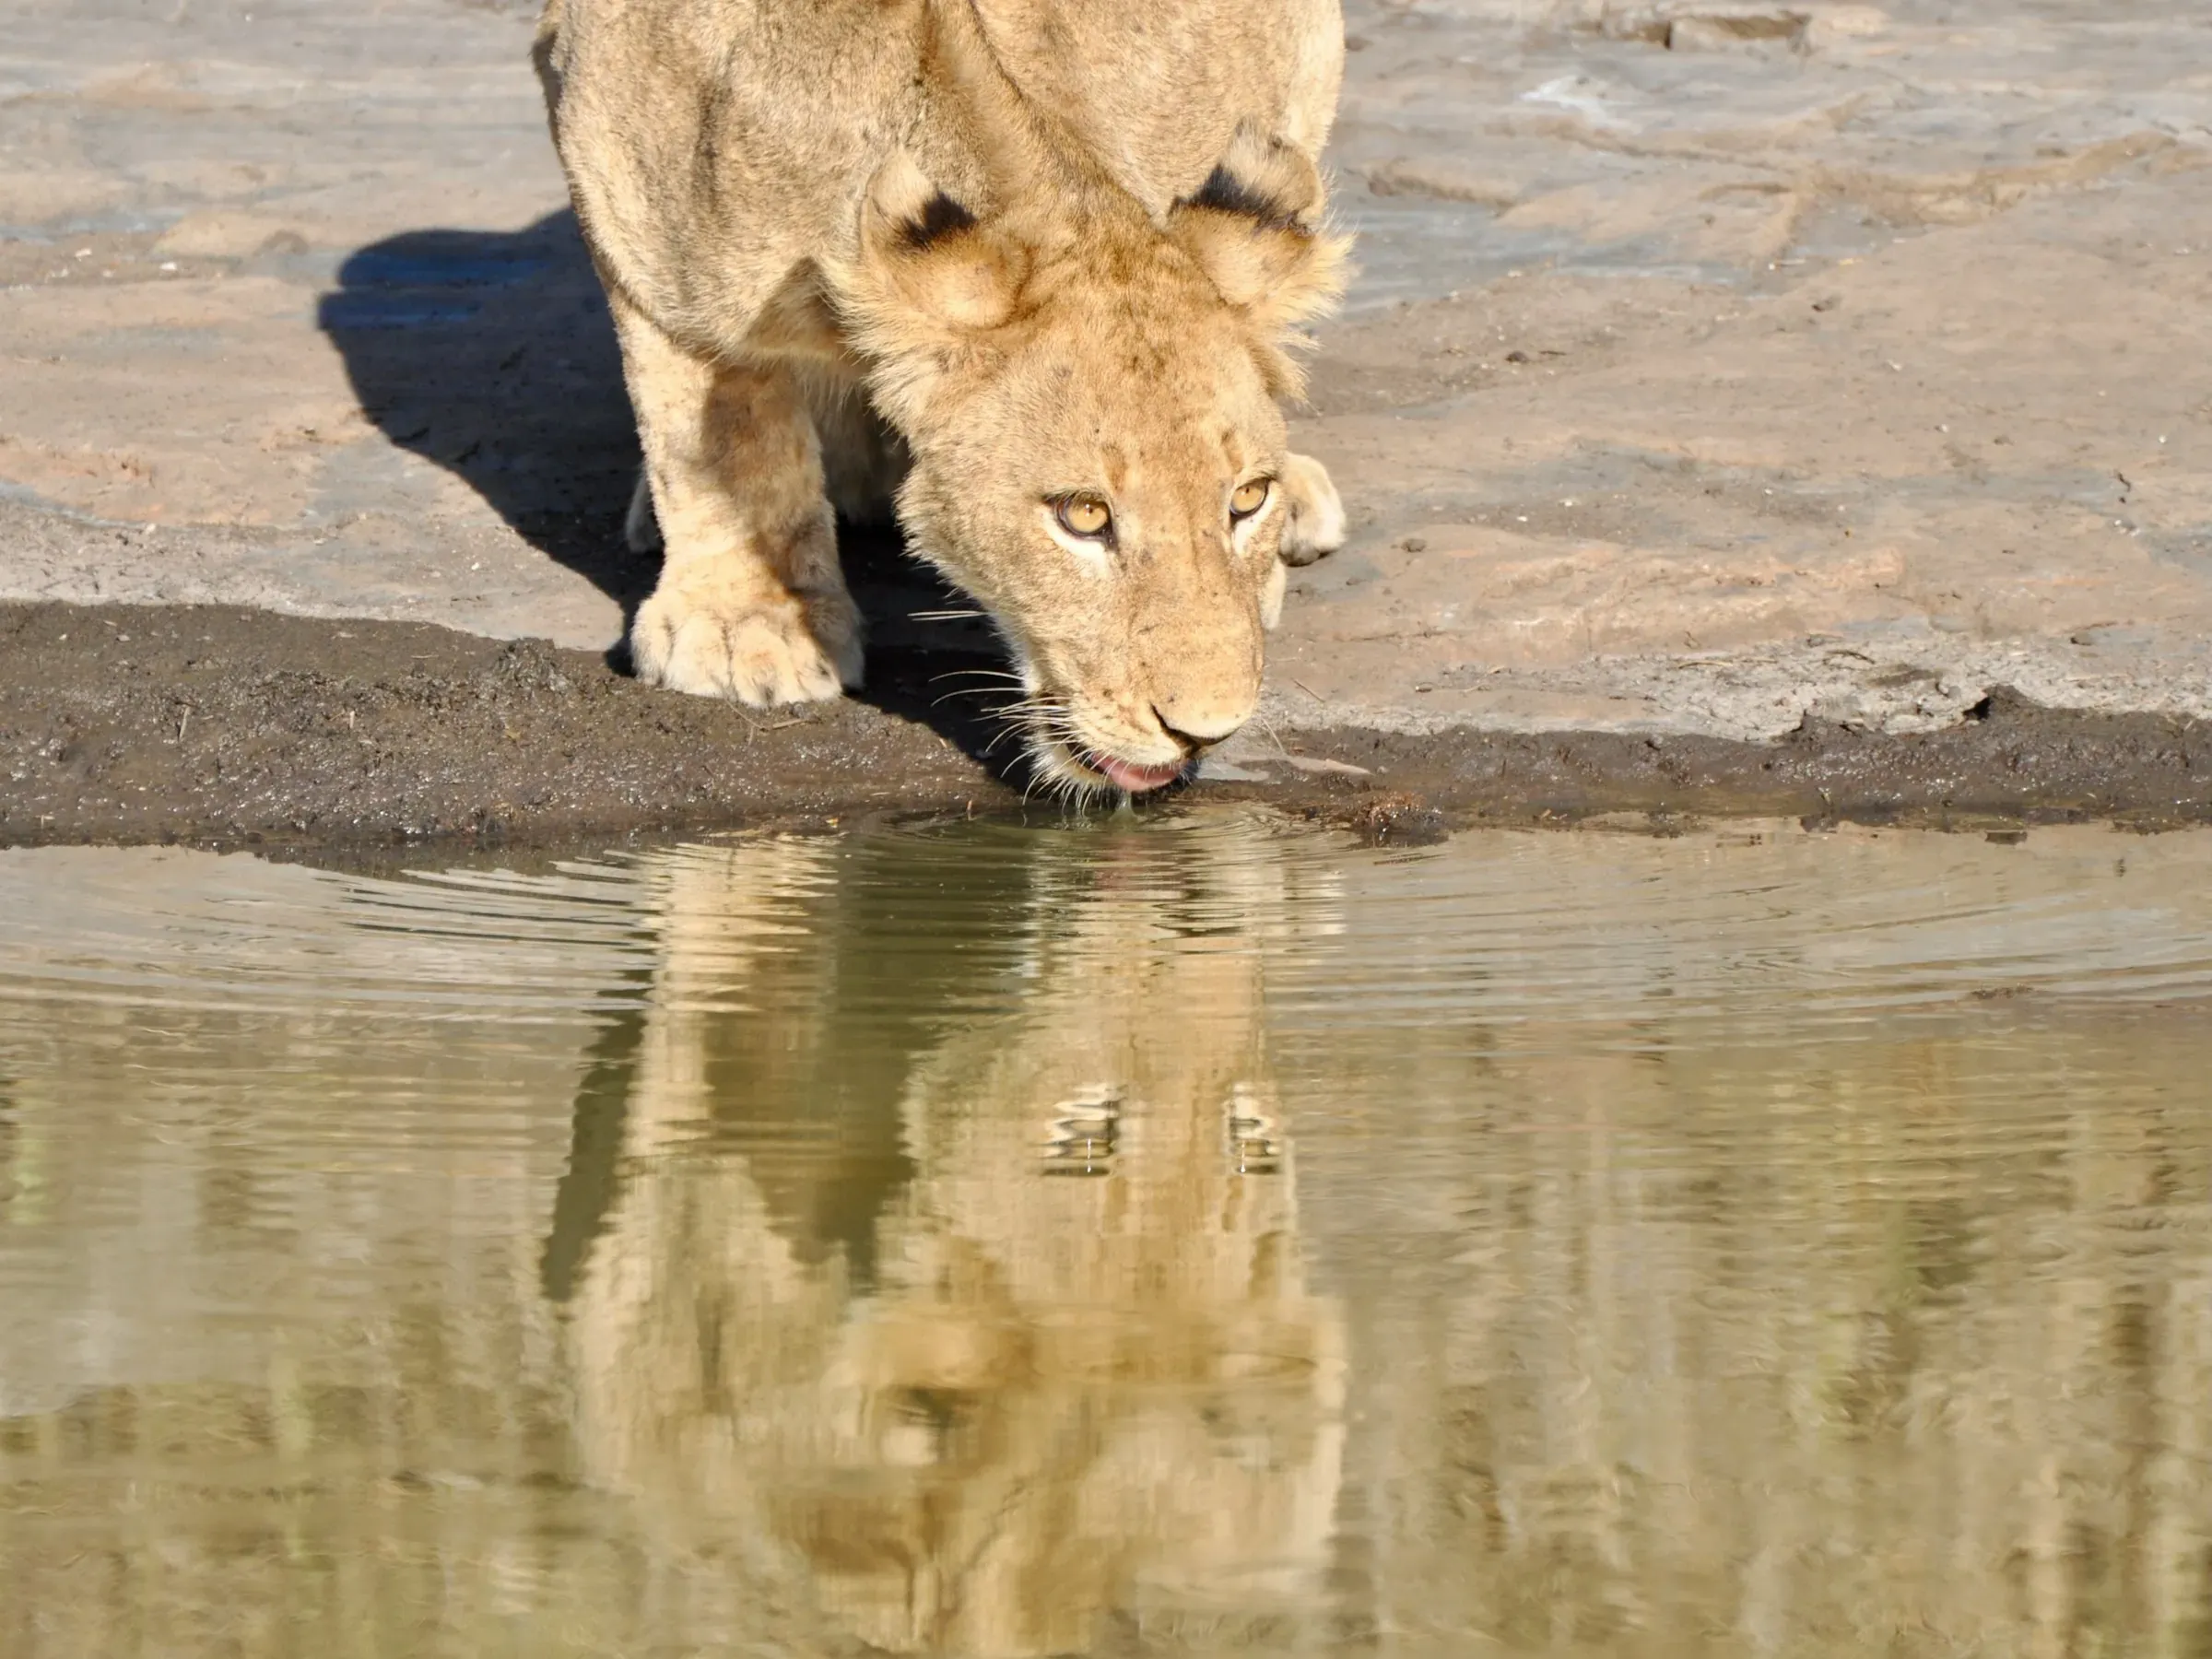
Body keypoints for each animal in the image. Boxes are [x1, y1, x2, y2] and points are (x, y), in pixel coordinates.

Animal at [533, 0, 1350, 796]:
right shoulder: (628, 200)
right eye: (1083, 515)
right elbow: (721, 436)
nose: (1206, 731)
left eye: (1247, 499)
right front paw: (751, 623)